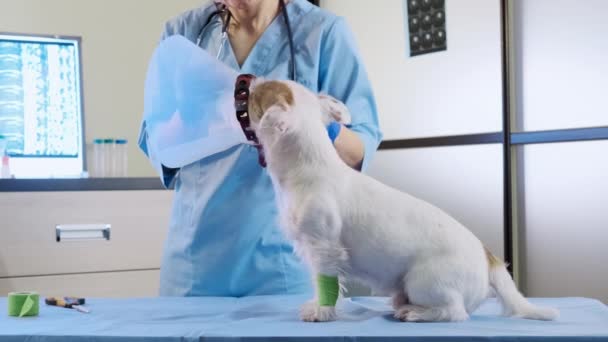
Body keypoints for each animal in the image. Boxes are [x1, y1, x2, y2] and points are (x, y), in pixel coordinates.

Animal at [246, 79, 556, 324]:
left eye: (255, 95)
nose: (247, 79)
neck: (308, 164)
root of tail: (488, 257)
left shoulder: (323, 248)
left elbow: (325, 282)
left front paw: (321, 311)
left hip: (423, 281)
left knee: (455, 312)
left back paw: (415, 312)